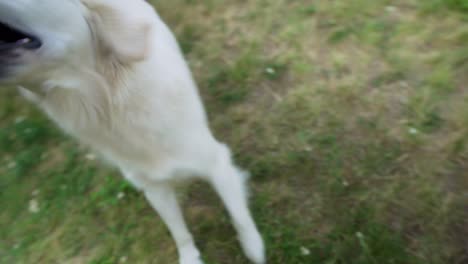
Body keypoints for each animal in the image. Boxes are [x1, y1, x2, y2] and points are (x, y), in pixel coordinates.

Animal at [0, 1, 264, 262]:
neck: (111, 105)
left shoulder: (217, 162)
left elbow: (239, 215)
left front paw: (254, 247)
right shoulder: (154, 187)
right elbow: (178, 231)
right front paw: (189, 256)